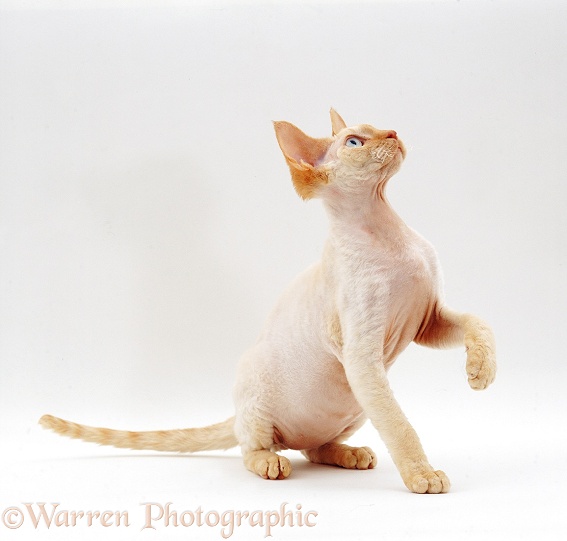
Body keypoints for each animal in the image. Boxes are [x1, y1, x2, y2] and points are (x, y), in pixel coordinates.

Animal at [40, 109, 494, 494]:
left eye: (378, 126)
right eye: (354, 142)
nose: (395, 133)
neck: (387, 230)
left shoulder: (429, 320)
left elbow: (479, 321)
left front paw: (480, 371)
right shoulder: (362, 354)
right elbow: (399, 424)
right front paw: (422, 474)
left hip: (354, 406)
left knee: (313, 446)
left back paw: (347, 453)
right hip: (265, 388)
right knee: (251, 447)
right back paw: (270, 462)